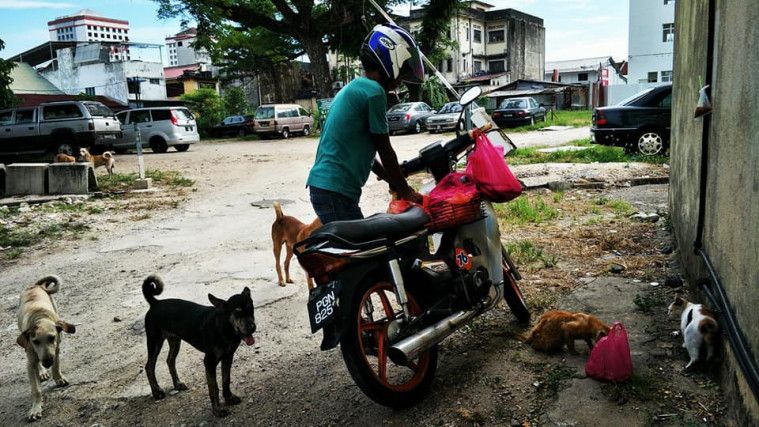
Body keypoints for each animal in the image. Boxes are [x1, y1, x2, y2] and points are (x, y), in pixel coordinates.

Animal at [16, 278, 76, 422]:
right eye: (35, 341)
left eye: (51, 337)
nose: (47, 361)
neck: (39, 317)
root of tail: (35, 285)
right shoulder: (31, 360)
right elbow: (36, 389)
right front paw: (35, 408)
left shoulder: (56, 348)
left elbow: (56, 365)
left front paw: (58, 378)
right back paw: (42, 372)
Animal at [142, 274, 258, 418]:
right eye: (237, 312)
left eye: (251, 308)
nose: (252, 328)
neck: (225, 328)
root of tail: (155, 303)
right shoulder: (209, 362)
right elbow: (214, 388)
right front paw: (217, 410)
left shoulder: (228, 357)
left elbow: (226, 380)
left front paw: (229, 398)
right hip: (155, 341)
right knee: (149, 366)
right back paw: (156, 392)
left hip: (175, 341)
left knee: (170, 360)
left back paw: (177, 384)